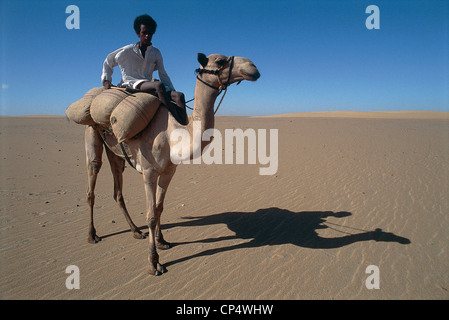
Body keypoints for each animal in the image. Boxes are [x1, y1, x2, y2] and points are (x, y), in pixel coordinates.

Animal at [84, 53, 260, 276]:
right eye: (220, 61)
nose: (252, 67)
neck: (172, 133)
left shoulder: (169, 171)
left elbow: (159, 208)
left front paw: (162, 241)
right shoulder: (149, 172)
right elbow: (151, 215)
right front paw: (154, 263)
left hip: (116, 153)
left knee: (118, 192)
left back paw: (135, 231)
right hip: (92, 133)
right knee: (92, 181)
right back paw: (92, 235)